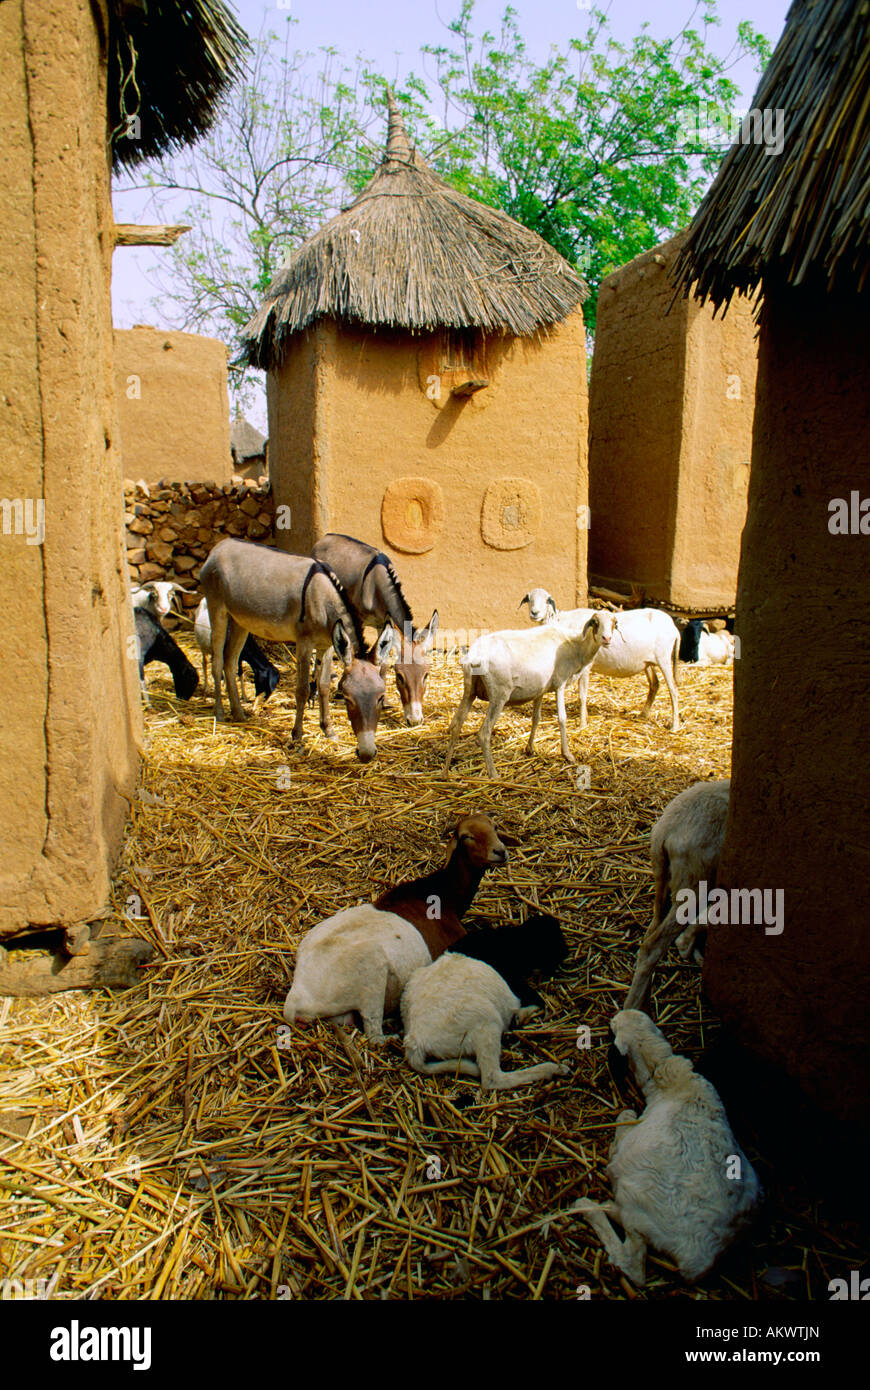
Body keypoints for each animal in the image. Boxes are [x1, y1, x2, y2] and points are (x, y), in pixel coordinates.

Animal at [444, 611, 614, 778]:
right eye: (596, 623)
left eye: (613, 623)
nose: (606, 639)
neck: (576, 646)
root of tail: (473, 656)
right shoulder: (560, 682)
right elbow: (562, 719)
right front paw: (567, 755)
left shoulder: (540, 690)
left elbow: (536, 718)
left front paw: (530, 748)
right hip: (499, 694)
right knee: (484, 733)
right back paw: (494, 775)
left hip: (470, 690)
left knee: (456, 725)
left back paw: (445, 772)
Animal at [516, 589, 680, 733]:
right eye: (529, 599)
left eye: (547, 600)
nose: (534, 613)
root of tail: (674, 628)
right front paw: (585, 718)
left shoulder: (585, 666)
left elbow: (582, 695)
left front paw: (582, 724)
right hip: (647, 662)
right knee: (655, 684)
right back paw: (643, 715)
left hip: (664, 659)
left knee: (673, 690)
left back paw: (674, 726)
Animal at [572, 1011, 756, 1278]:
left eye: (610, 1031)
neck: (673, 1081)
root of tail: (699, 1260)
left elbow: (625, 1116)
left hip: (634, 1201)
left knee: (633, 1265)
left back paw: (589, 1208)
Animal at [619, 778, 728, 1006]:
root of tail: (667, 831)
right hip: (694, 883)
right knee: (653, 946)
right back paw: (633, 1005)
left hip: (663, 877)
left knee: (651, 932)